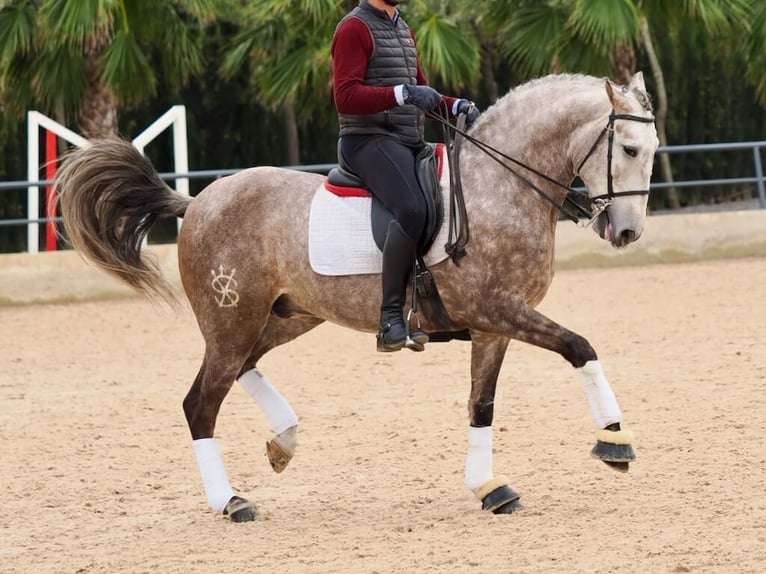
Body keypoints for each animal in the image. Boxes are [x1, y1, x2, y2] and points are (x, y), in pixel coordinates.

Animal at [57, 71, 664, 520]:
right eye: (630, 148)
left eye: (653, 148)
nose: (627, 232)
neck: (501, 187)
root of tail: (199, 201)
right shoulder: (498, 309)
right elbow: (580, 348)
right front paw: (615, 440)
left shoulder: (494, 326)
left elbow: (481, 405)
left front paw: (489, 486)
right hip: (233, 318)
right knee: (202, 402)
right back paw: (230, 501)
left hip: (285, 316)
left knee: (242, 368)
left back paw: (284, 441)